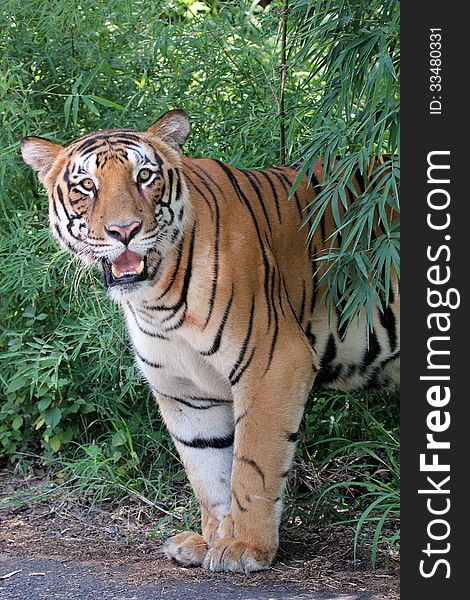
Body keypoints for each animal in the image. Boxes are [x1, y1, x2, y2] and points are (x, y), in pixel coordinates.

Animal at [20, 110, 398, 576]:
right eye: (86, 185)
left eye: (144, 176)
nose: (124, 230)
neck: (155, 301)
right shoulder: (183, 390)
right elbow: (206, 468)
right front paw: (211, 540)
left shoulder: (274, 362)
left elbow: (253, 463)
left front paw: (245, 547)